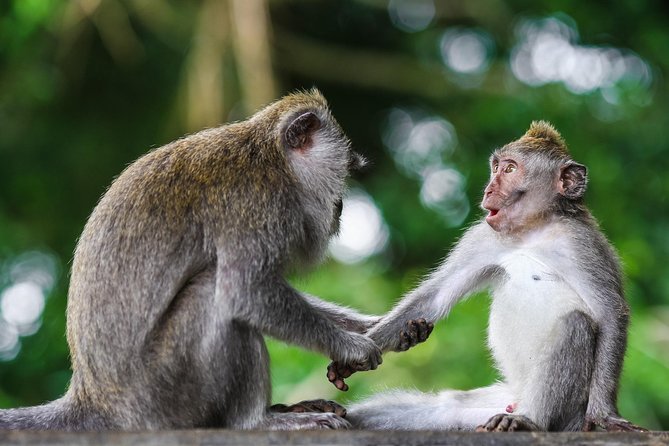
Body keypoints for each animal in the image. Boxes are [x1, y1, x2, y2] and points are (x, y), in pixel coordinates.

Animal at [0, 89, 385, 430]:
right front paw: (352, 346)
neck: (273, 160)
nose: (341, 207)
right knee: (210, 294)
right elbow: (245, 293)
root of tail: (92, 398)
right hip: (164, 394)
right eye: (346, 170)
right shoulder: (257, 205)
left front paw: (369, 325)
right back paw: (257, 421)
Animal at [330, 121, 647, 432]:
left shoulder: (580, 243)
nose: (488, 190)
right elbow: (435, 296)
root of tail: (517, 400)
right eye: (495, 168)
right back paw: (340, 415)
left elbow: (610, 313)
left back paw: (528, 420)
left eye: (510, 169)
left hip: (569, 414)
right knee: (447, 407)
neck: (531, 231)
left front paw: (604, 414)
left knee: (575, 324)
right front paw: (353, 357)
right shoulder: (482, 237)